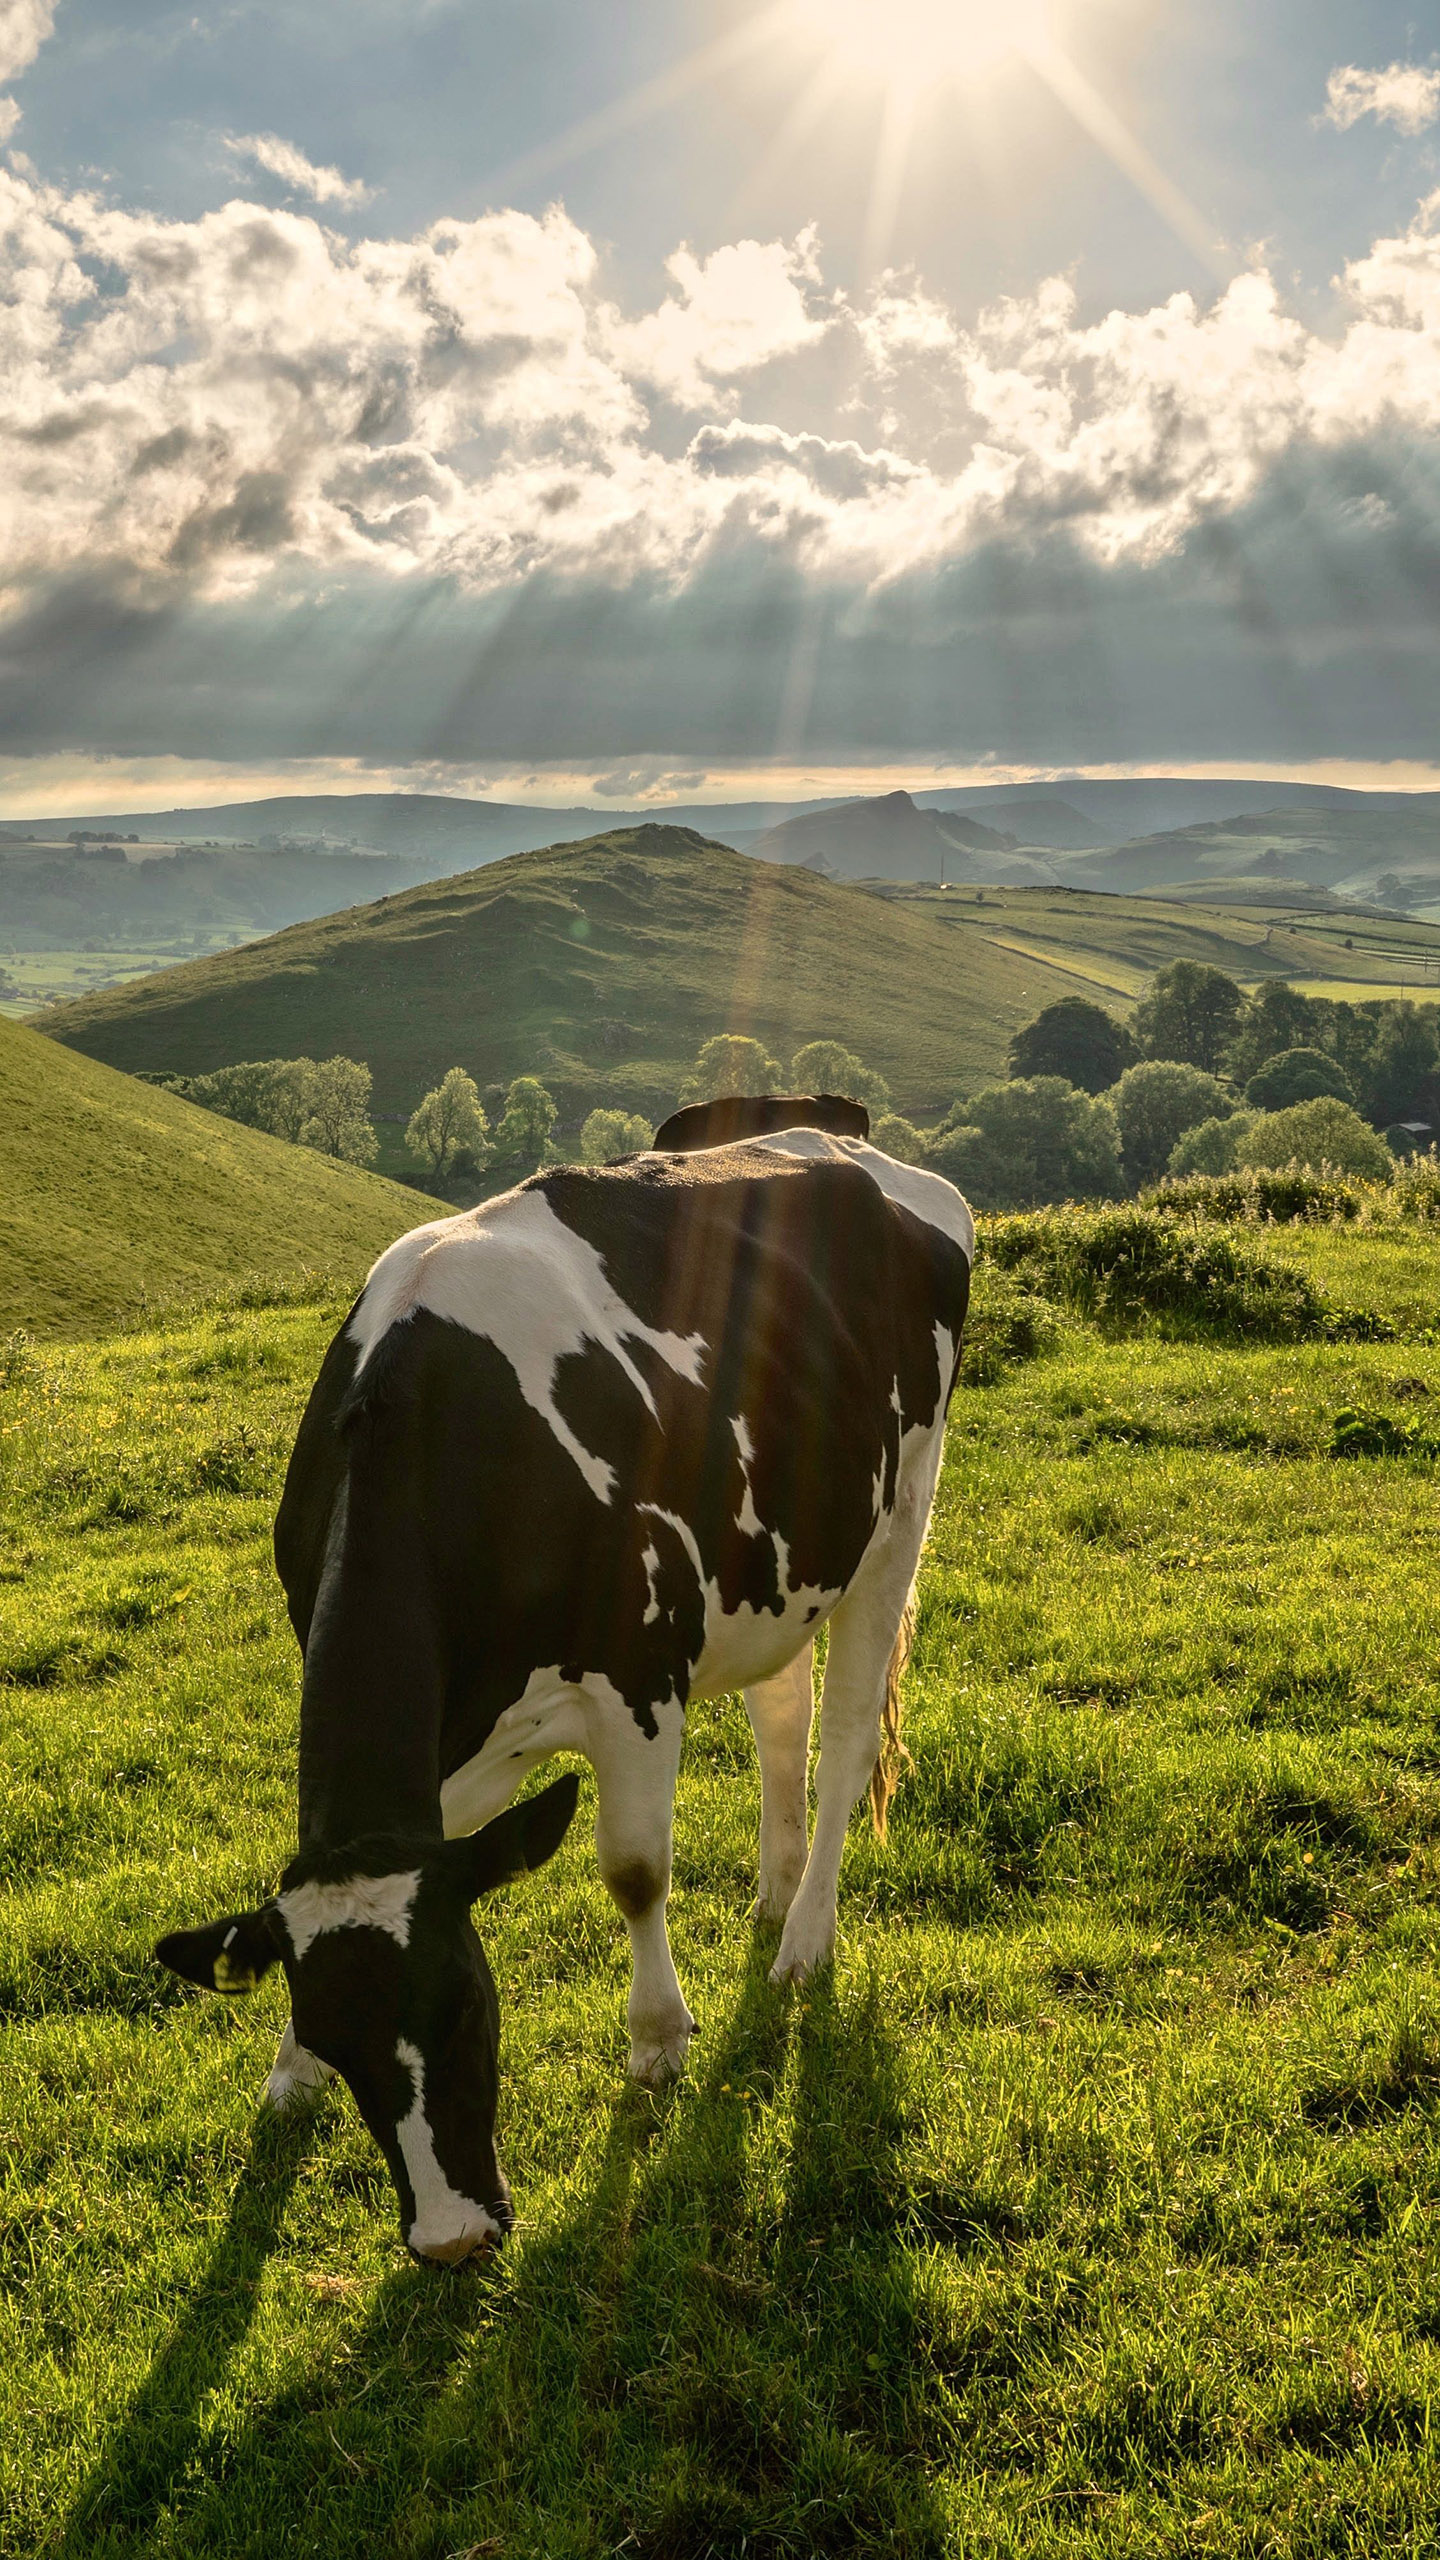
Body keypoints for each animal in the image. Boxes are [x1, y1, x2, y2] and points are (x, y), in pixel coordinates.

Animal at [155, 1129, 973, 2263]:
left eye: (469, 2006)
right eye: (339, 2042)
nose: (451, 2238)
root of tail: (846, 1142)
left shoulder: (640, 1678)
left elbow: (634, 1871)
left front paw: (660, 2041)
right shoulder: (448, 1752)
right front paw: (288, 2071)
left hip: (899, 1515)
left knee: (847, 1741)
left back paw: (803, 1944)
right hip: (779, 1562)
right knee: (783, 1721)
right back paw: (774, 1892)